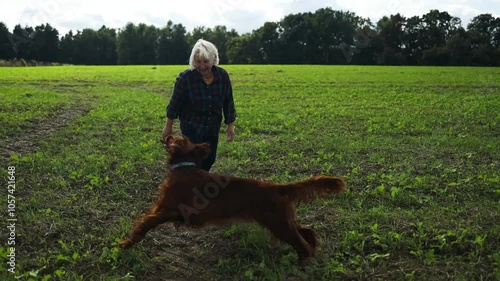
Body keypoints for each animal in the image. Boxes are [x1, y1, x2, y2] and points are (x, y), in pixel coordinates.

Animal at [119, 135, 346, 262]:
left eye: (180, 138)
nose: (168, 135)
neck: (184, 168)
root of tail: (277, 188)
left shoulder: (166, 210)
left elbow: (143, 225)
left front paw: (125, 243)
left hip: (279, 224)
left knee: (301, 243)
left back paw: (304, 262)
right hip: (283, 221)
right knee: (307, 231)